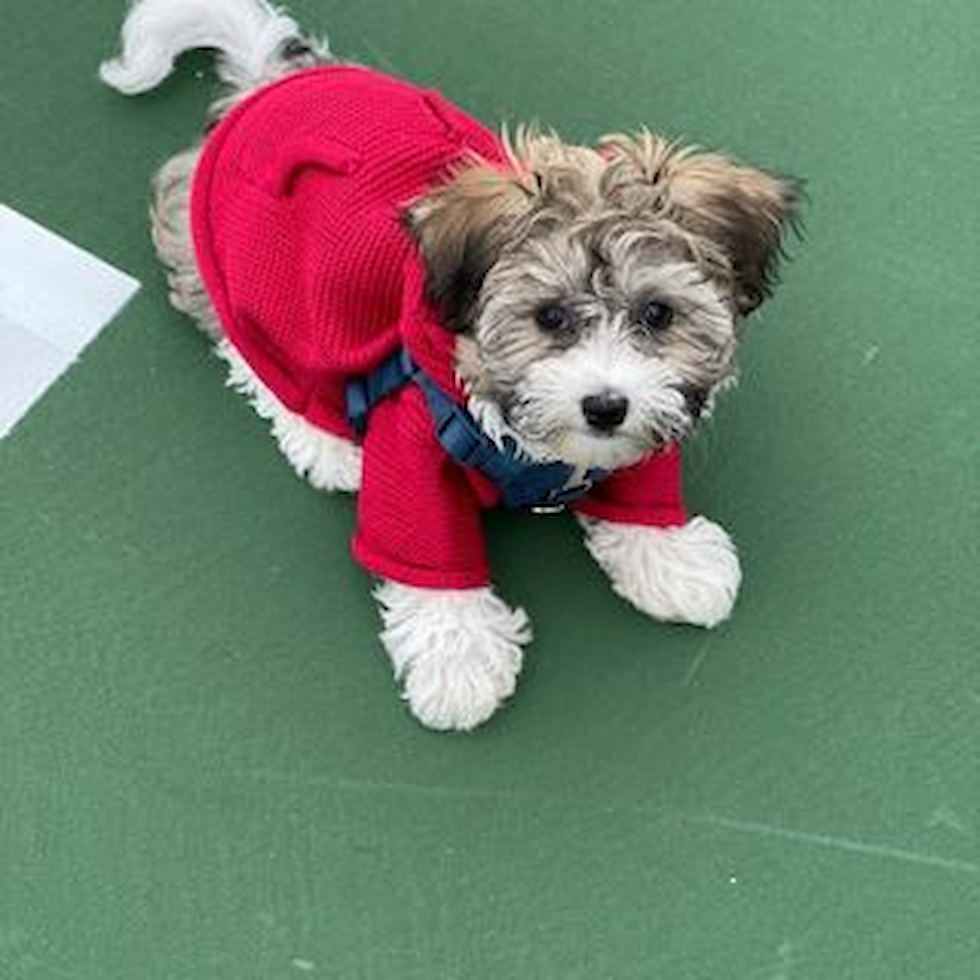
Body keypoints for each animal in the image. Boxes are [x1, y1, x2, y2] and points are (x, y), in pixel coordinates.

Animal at [103, 0, 800, 732]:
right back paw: (321, 438)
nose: (606, 407)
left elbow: (641, 485)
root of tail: (272, 83)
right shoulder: (411, 435)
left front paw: (672, 558)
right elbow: (426, 550)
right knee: (242, 336)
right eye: (550, 317)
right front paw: (458, 658)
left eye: (658, 314)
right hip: (239, 254)